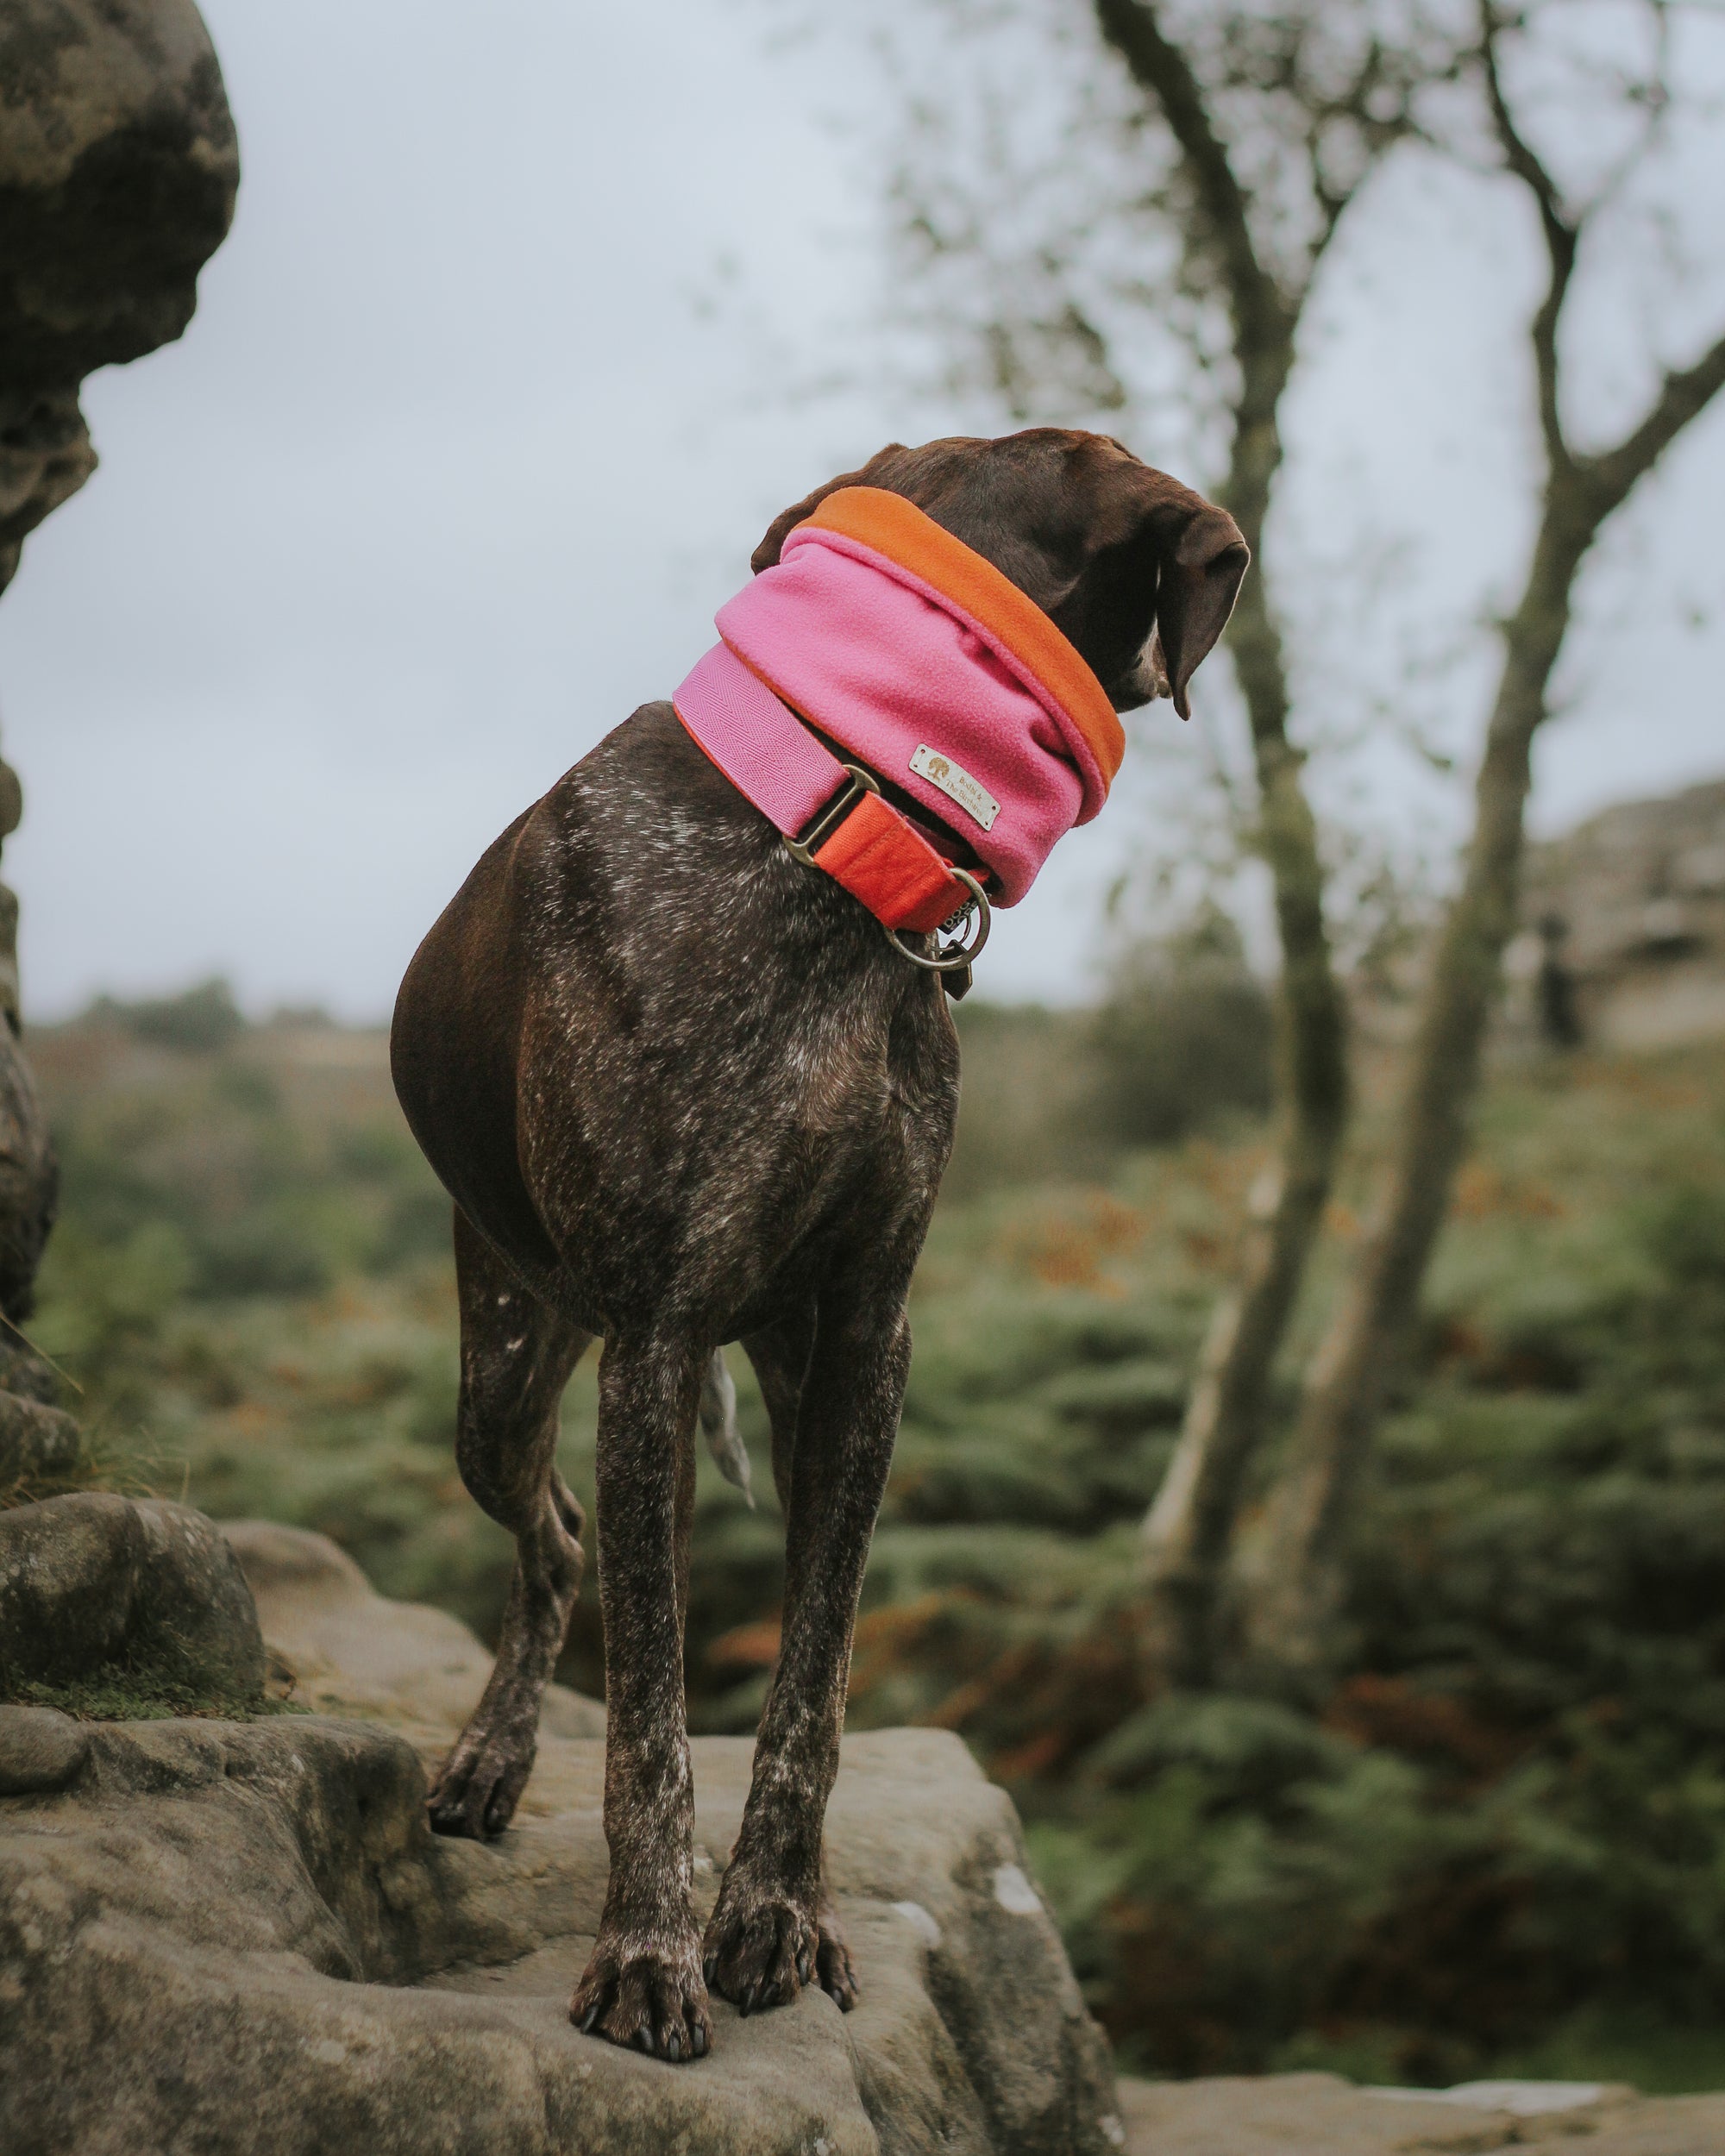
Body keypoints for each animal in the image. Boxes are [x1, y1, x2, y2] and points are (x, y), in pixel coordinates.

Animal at [390, 420, 1251, 2053]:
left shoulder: (860, 1347)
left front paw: (781, 1915)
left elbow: (816, 1677)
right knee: (556, 1545)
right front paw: (649, 1952)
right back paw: (491, 1755)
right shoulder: (657, 1341)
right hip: (511, 1365)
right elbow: (656, 1721)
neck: (830, 830)